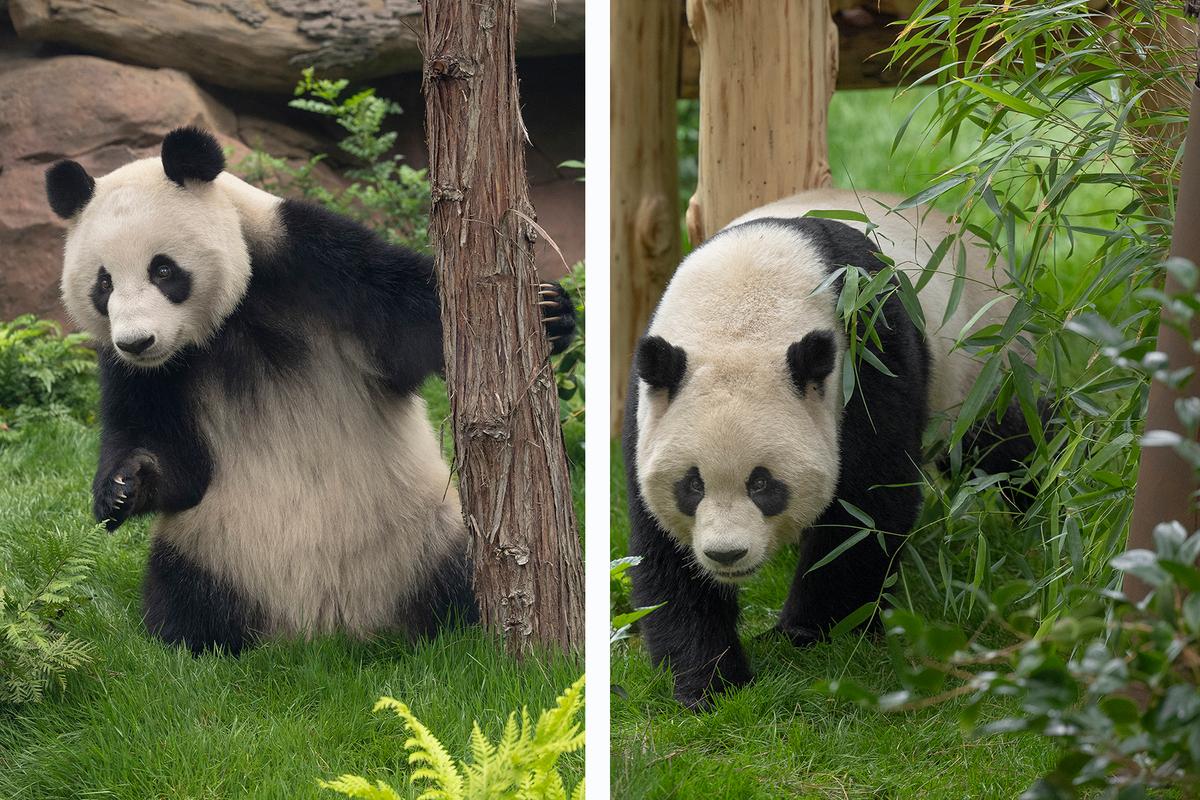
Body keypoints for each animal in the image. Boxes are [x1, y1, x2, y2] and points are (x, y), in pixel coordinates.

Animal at [45, 127, 576, 655]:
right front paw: (122, 487)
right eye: (104, 283)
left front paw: (551, 311)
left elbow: (425, 319)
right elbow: (170, 456)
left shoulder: (315, 261)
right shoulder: (143, 374)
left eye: (162, 270)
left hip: (424, 534)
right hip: (212, 550)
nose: (137, 342)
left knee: (457, 580)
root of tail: (321, 631)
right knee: (178, 595)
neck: (228, 320)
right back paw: (197, 640)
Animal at [625, 188, 1037, 708]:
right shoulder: (650, 405)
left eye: (763, 485)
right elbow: (663, 550)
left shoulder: (868, 351)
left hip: (984, 363)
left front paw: (808, 633)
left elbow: (866, 509)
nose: (727, 555)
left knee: (1007, 446)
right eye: (692, 486)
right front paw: (709, 681)